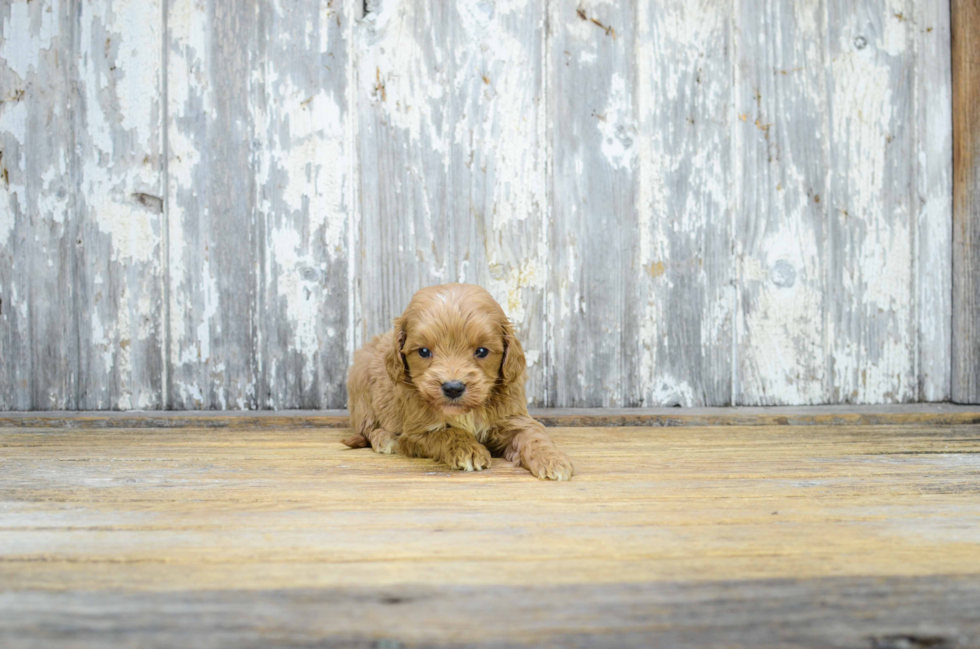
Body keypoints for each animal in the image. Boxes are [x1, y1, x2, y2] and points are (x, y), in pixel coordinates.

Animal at [344, 284, 576, 480]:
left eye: (482, 351)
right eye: (424, 351)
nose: (453, 388)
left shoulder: (514, 419)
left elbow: (534, 436)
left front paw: (552, 459)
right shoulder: (416, 432)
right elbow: (449, 432)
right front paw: (469, 450)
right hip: (361, 388)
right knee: (367, 428)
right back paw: (385, 439)